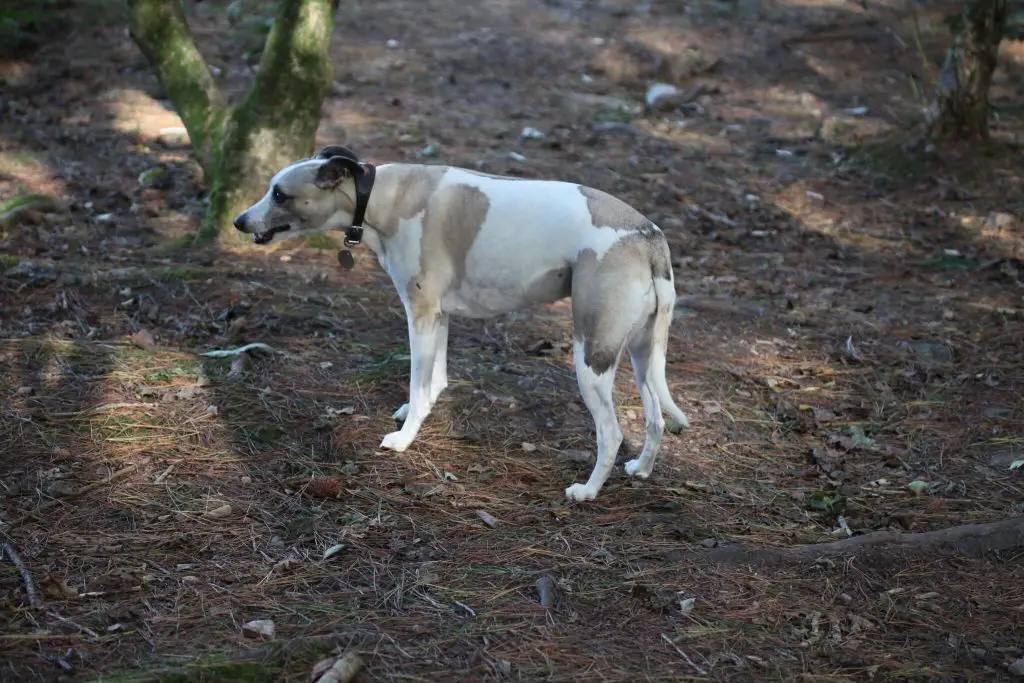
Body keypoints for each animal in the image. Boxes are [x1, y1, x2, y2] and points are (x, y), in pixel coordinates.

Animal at [234, 144, 688, 501]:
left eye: (279, 193)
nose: (239, 221)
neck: (383, 197)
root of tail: (648, 237)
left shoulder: (419, 313)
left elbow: (419, 385)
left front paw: (404, 438)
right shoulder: (439, 315)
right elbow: (434, 381)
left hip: (592, 355)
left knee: (611, 433)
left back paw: (588, 490)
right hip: (642, 354)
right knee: (654, 419)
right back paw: (641, 468)